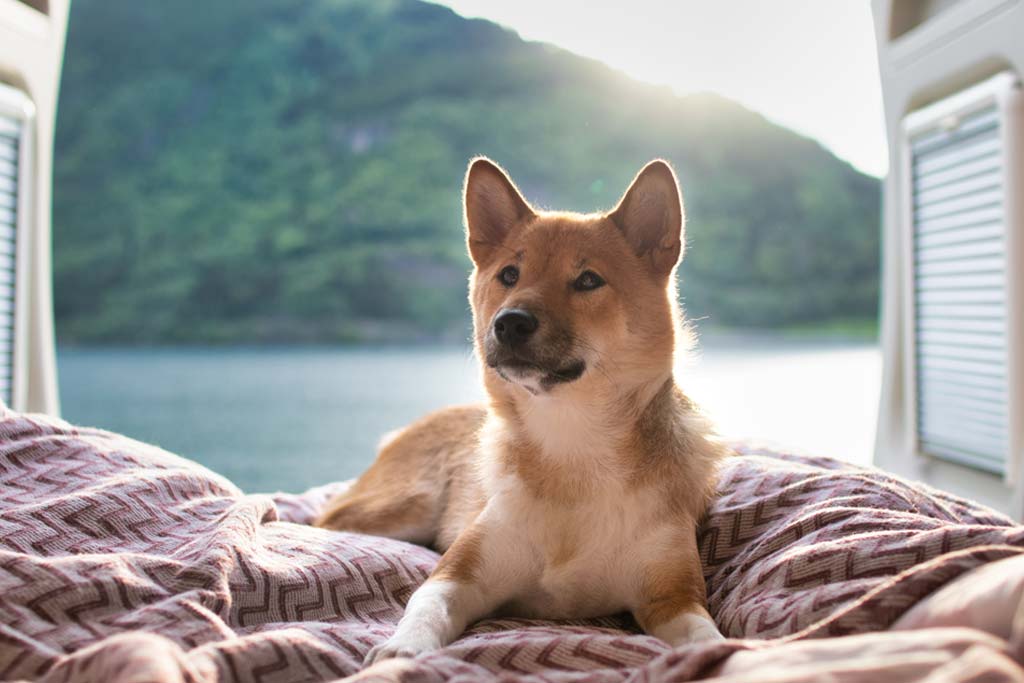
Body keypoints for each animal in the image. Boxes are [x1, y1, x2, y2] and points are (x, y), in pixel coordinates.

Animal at [315, 157, 724, 663]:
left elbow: (706, 635)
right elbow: (425, 607)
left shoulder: (673, 595)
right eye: (509, 275)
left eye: (588, 280)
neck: (572, 448)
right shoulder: (458, 575)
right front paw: (401, 649)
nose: (509, 323)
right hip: (403, 505)